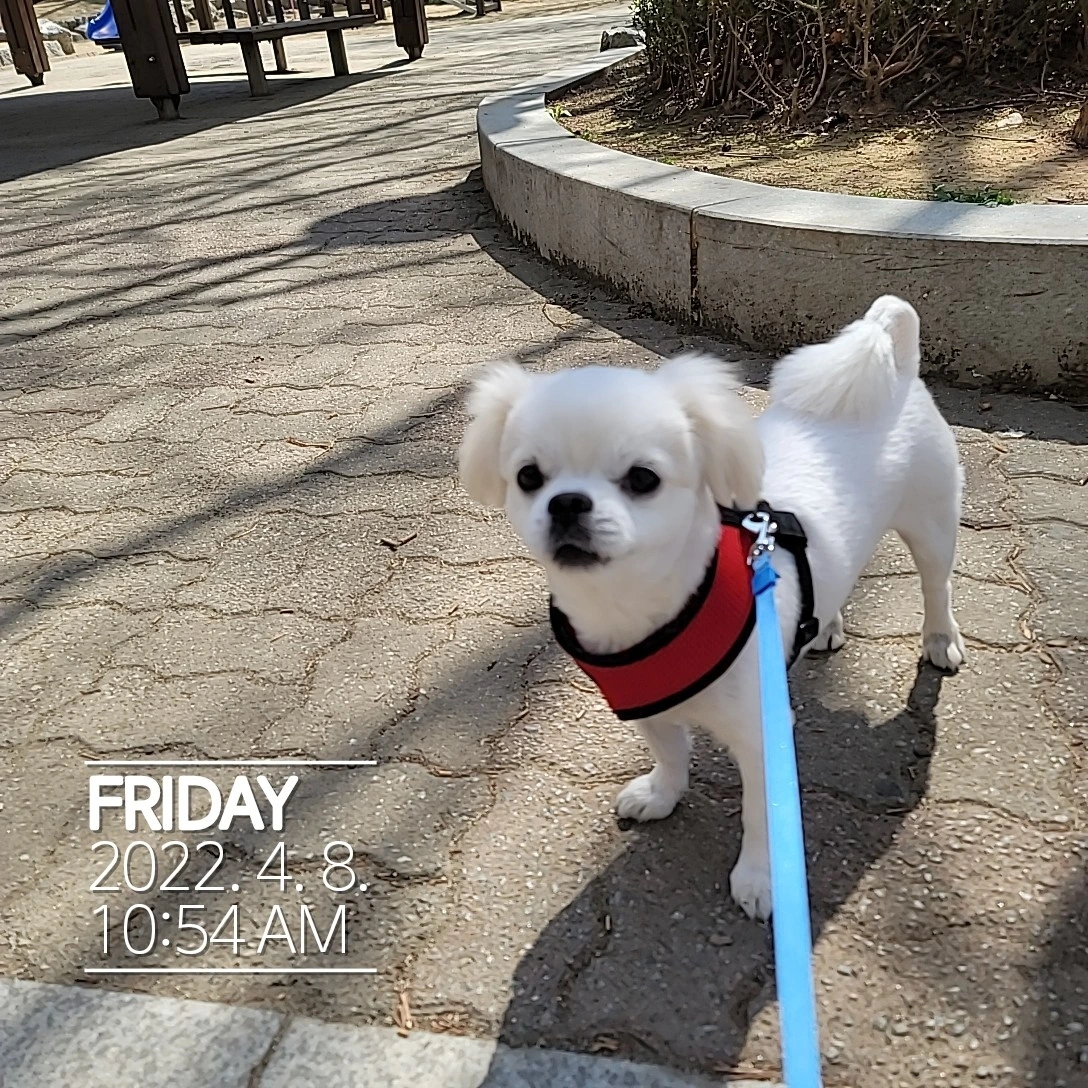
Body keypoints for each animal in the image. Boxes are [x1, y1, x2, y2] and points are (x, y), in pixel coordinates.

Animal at [457, 296, 965, 921]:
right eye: (529, 477)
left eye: (642, 479)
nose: (568, 502)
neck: (642, 610)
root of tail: (895, 369)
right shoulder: (648, 706)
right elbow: (672, 753)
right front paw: (661, 794)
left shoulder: (761, 735)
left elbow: (762, 814)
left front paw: (762, 878)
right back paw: (824, 627)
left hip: (932, 524)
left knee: (936, 587)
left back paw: (940, 640)